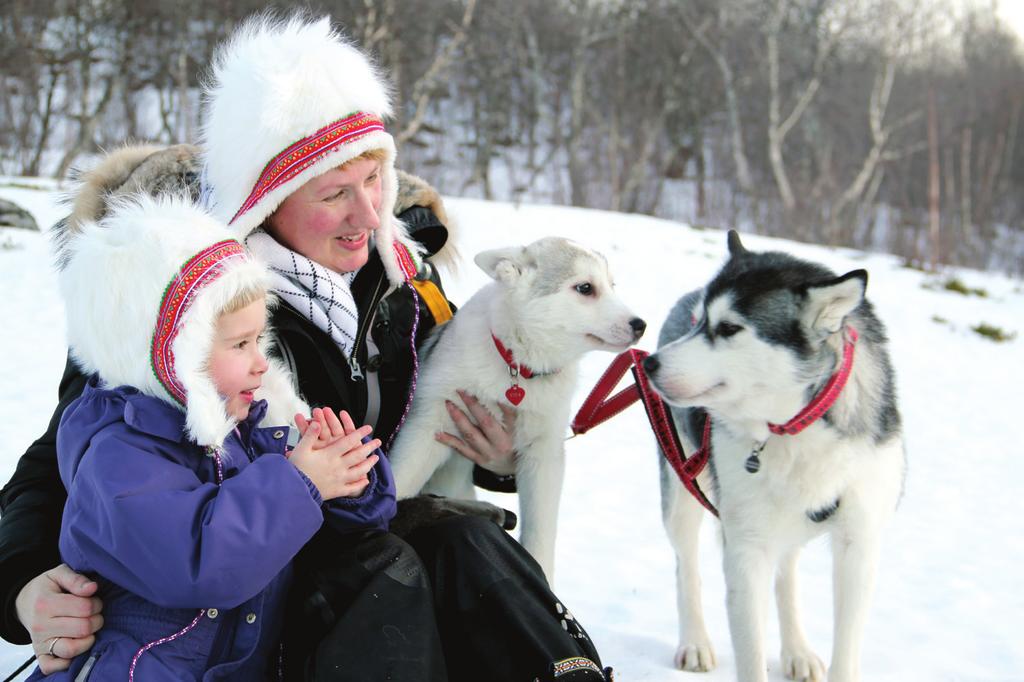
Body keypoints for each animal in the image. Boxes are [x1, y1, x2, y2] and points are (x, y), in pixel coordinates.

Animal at [387, 236, 643, 577]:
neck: (520, 370)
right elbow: (400, 479)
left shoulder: (544, 455)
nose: (640, 324)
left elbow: (541, 532)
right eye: (586, 288)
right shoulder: (429, 425)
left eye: (612, 285)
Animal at [647, 231, 905, 675]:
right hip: (682, 493)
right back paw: (695, 641)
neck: (797, 426)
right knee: (687, 566)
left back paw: (797, 651)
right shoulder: (747, 551)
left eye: (729, 328)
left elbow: (845, 647)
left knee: (787, 573)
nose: (648, 364)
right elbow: (750, 653)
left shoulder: (859, 543)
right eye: (700, 322)